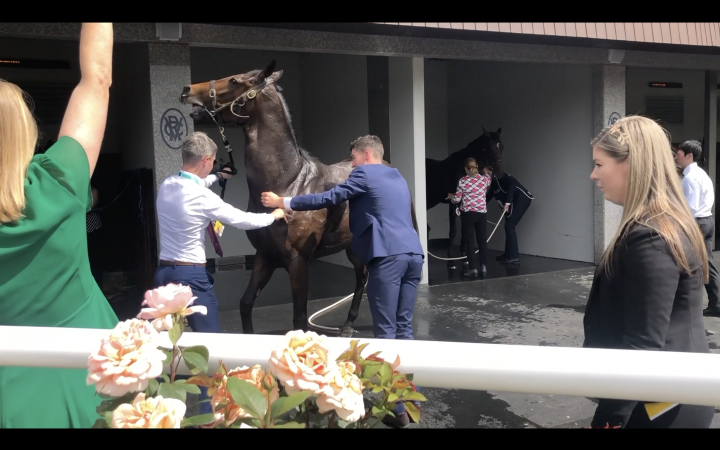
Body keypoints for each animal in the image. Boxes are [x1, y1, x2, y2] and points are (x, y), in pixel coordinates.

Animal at [177, 61, 420, 340]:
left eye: (234, 81)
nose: (187, 89)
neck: (288, 181)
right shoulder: (264, 257)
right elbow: (246, 303)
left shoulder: (298, 262)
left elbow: (300, 318)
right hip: (353, 245)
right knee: (362, 277)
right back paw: (348, 324)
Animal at [424, 128, 504, 266]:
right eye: (490, 148)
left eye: (502, 147)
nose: (499, 173)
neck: (462, 168)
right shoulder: (453, 203)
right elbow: (453, 231)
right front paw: (450, 261)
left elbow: (464, 229)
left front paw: (464, 257)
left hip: (430, 202)